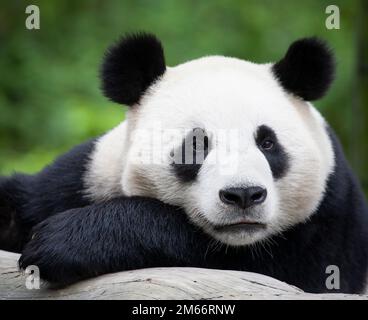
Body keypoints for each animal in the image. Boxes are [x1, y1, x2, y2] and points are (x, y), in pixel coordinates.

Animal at [0, 32, 368, 292]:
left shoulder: (330, 221)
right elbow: (23, 201)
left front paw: (61, 242)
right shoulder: (87, 174)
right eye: (195, 146)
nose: (244, 195)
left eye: (267, 143)